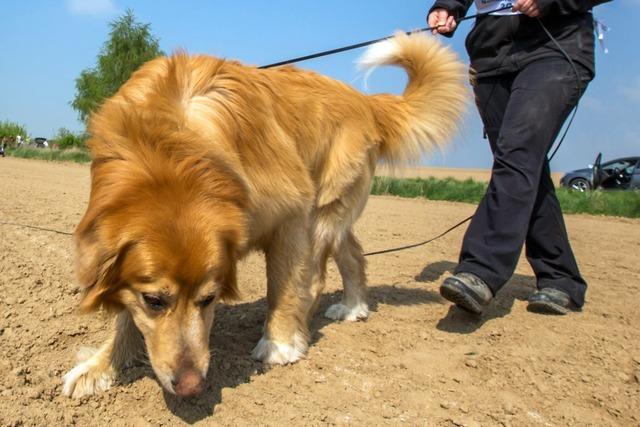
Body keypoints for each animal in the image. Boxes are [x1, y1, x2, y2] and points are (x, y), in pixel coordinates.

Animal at [63, 31, 464, 400]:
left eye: (209, 299)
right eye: (154, 301)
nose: (191, 386)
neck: (169, 153)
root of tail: (365, 101)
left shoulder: (292, 213)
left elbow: (283, 287)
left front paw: (280, 343)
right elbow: (126, 315)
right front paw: (100, 365)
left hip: (322, 211)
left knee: (316, 277)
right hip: (335, 213)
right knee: (353, 253)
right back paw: (353, 307)